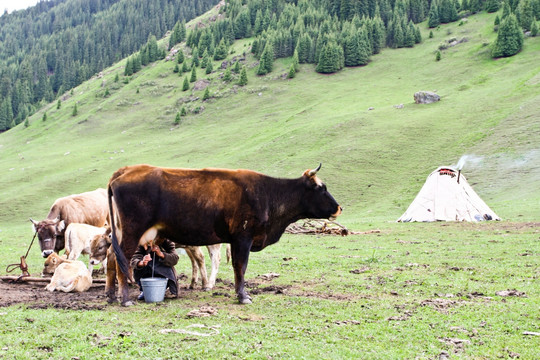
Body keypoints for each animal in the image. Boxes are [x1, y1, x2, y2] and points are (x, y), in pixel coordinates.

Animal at [107, 165, 340, 306]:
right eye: (321, 188)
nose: (339, 208)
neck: (267, 194)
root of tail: (126, 170)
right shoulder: (243, 238)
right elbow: (241, 267)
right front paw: (243, 296)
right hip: (131, 232)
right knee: (122, 261)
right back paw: (124, 299)